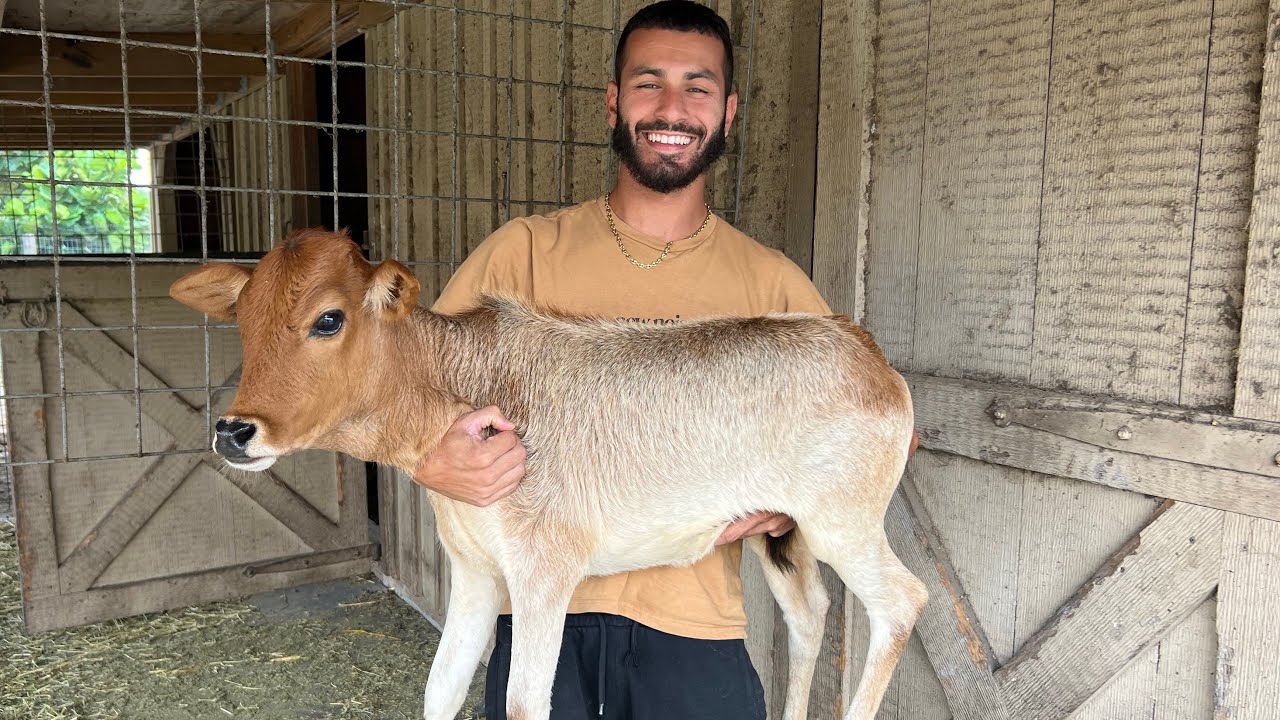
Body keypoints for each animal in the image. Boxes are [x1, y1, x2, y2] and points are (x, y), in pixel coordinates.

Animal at [170, 228, 927, 720]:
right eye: (242, 318)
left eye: (328, 319)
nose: (234, 431)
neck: (459, 389)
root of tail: (868, 352)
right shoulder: (475, 576)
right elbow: (442, 690)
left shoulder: (545, 570)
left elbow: (523, 702)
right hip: (781, 535)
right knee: (811, 614)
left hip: (844, 525)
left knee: (902, 601)